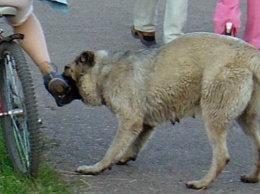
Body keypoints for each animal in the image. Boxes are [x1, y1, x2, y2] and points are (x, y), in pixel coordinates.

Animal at [62, 32, 260, 189]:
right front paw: (124, 157)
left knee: (221, 156)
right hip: (246, 119)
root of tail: (249, 53)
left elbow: (112, 148)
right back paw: (252, 177)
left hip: (213, 116)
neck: (104, 69)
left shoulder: (129, 120)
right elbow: (134, 143)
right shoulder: (144, 123)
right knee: (257, 146)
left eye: (67, 69)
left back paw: (202, 183)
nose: (55, 82)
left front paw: (97, 167)